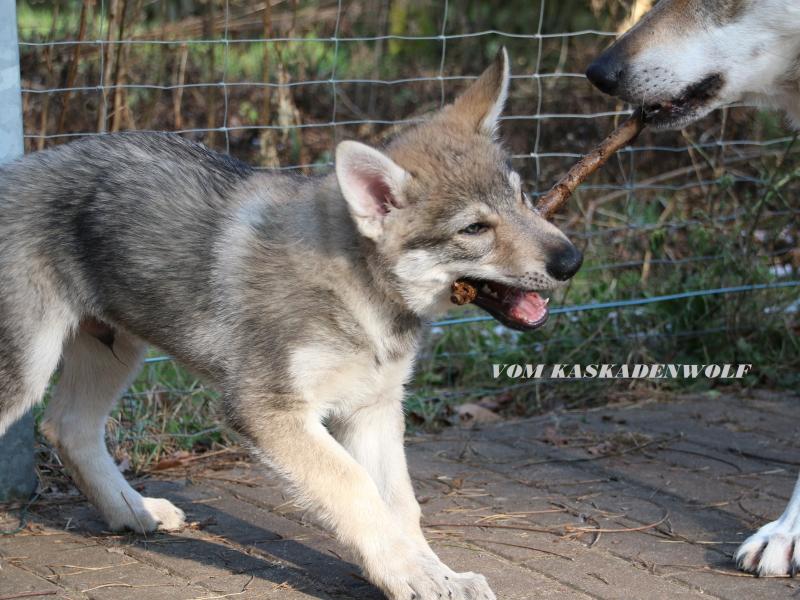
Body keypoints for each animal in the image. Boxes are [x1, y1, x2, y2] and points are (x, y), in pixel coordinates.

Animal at [0, 51, 580, 600]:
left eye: (522, 197)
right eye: (475, 229)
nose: (572, 260)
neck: (359, 289)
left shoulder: (371, 410)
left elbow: (400, 506)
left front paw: (434, 574)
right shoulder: (269, 411)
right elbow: (354, 488)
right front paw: (409, 575)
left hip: (115, 351)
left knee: (67, 427)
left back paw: (132, 509)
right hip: (29, 372)